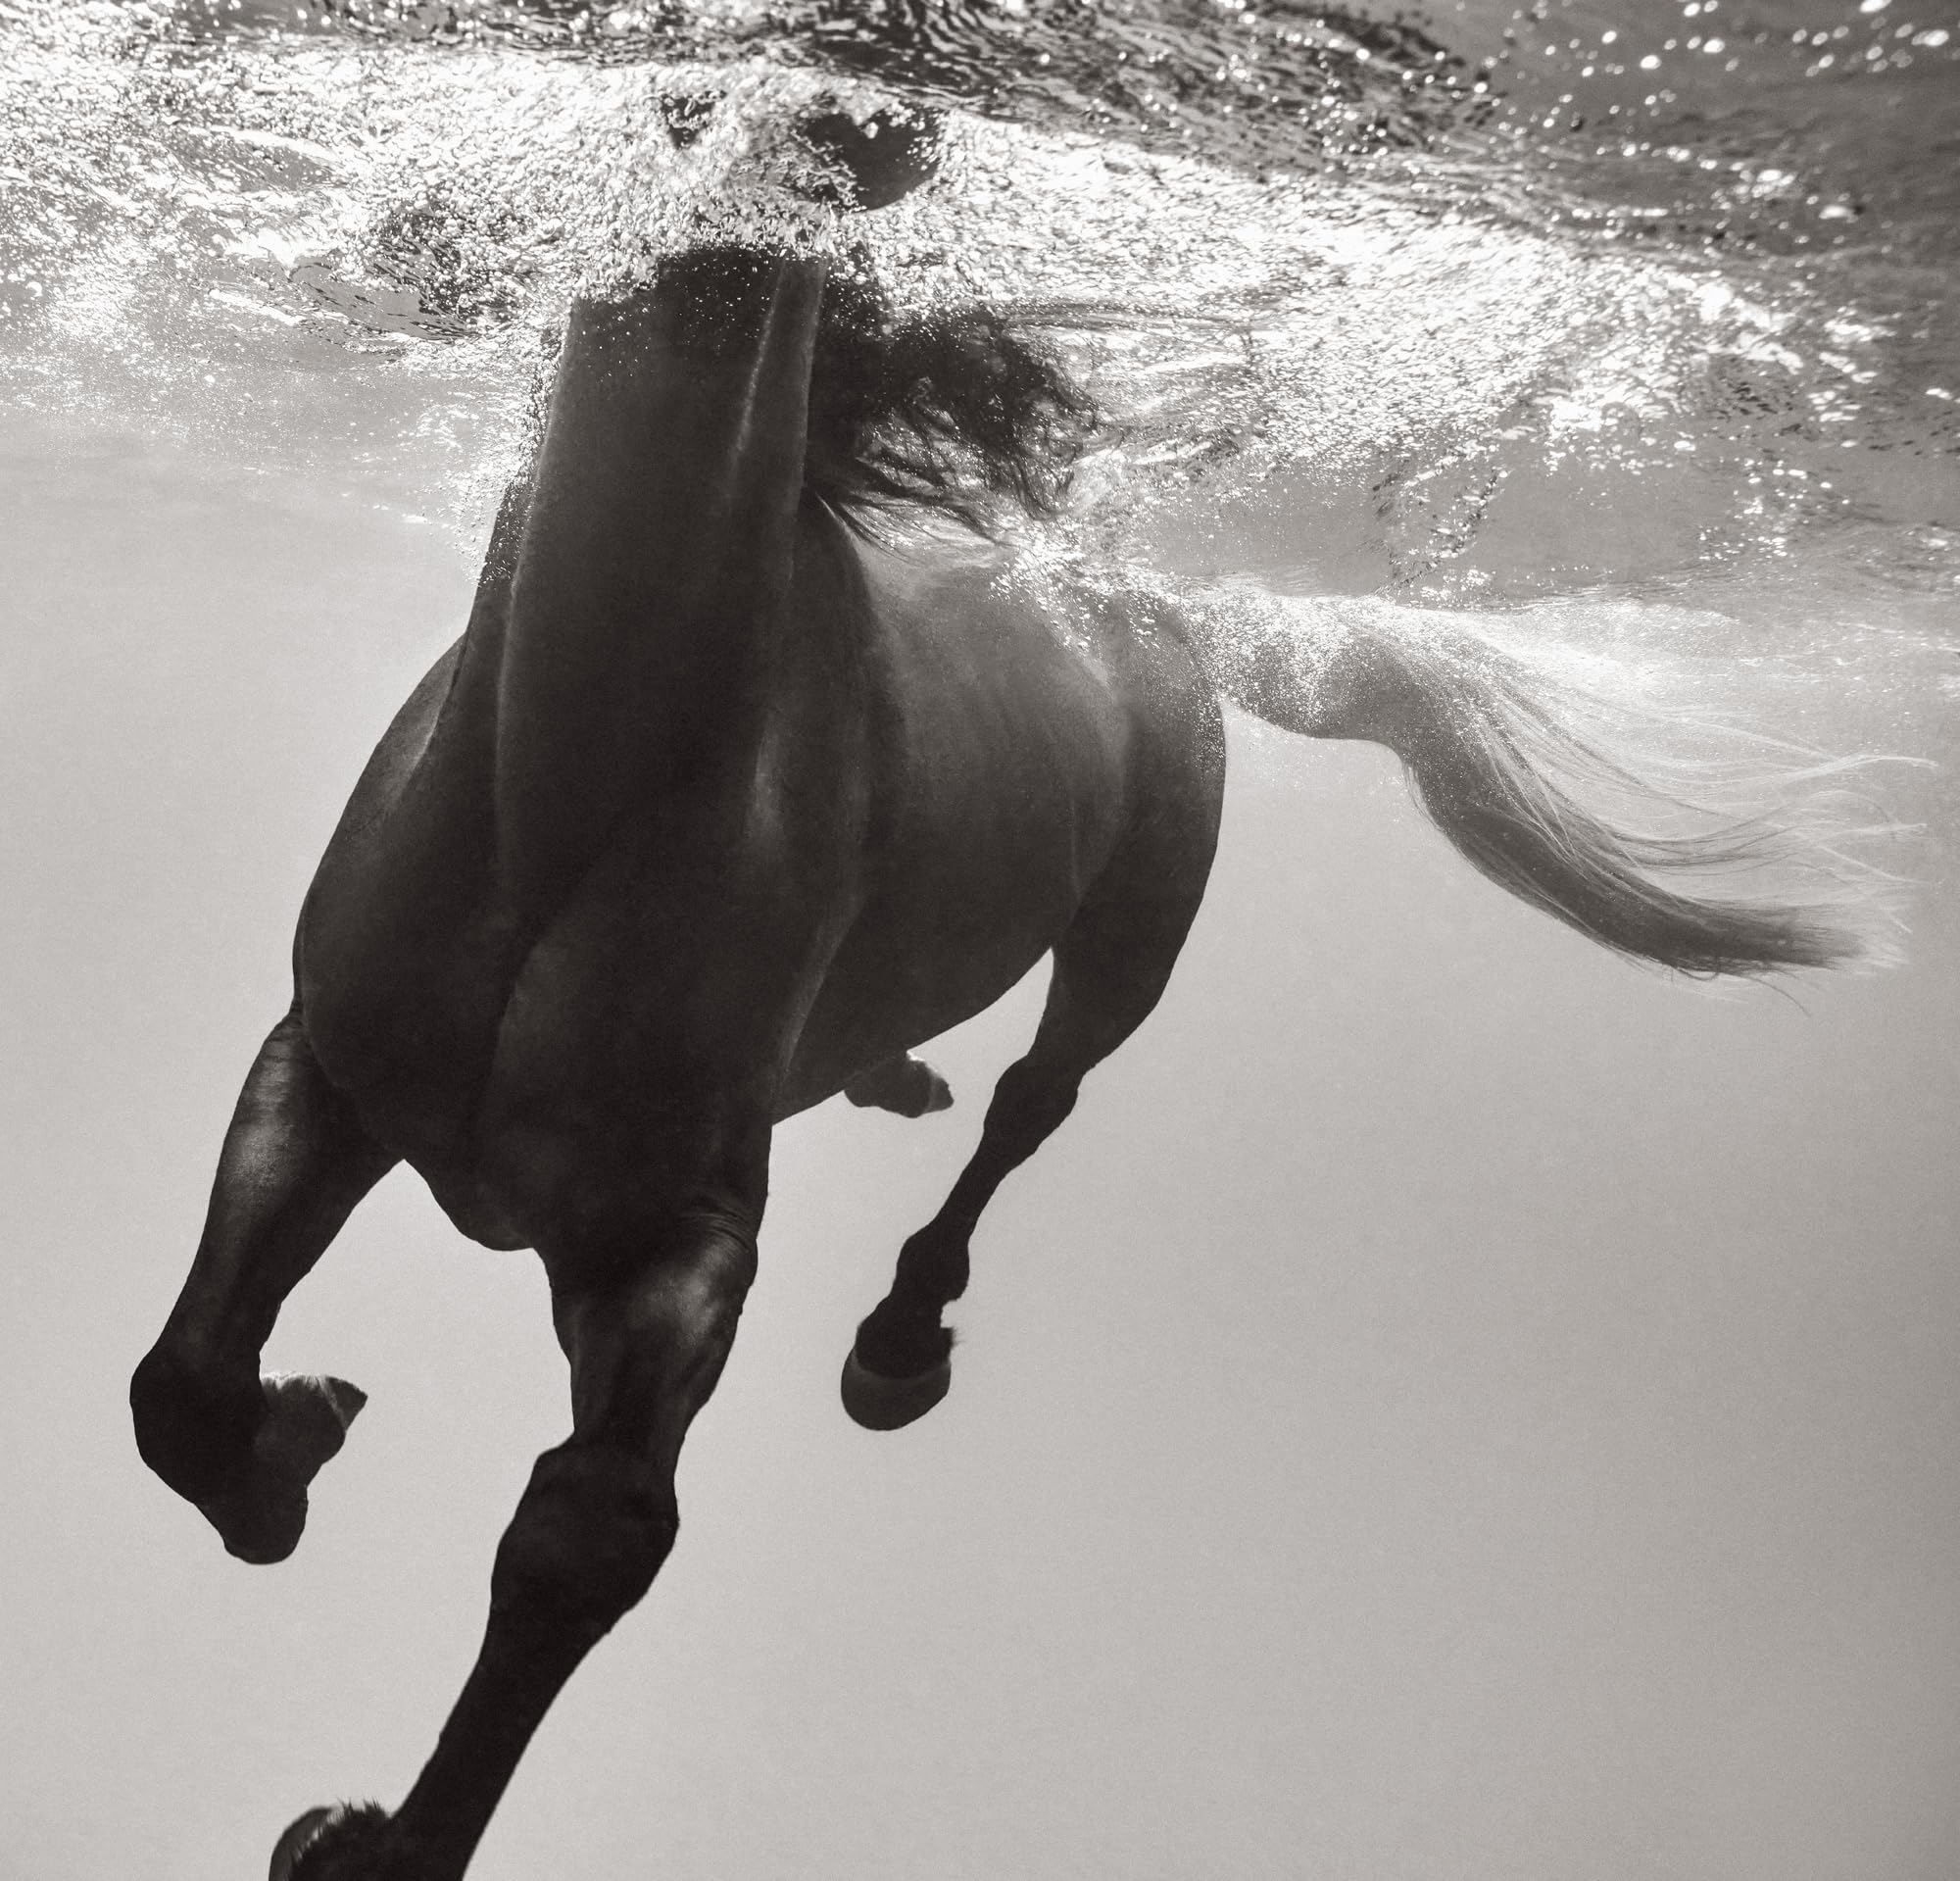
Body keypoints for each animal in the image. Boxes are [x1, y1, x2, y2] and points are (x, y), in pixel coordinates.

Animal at [127, 130, 1875, 1881]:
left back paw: (901, 1337)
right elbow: (181, 1380)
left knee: (1039, 1101)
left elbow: (582, 1530)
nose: (848, 135)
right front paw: (289, 1441)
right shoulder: (324, 1069)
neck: (579, 782)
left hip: (1137, 926)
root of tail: (1150, 609)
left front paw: (374, 1836)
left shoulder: (681, 1234)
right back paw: (890, 1078)